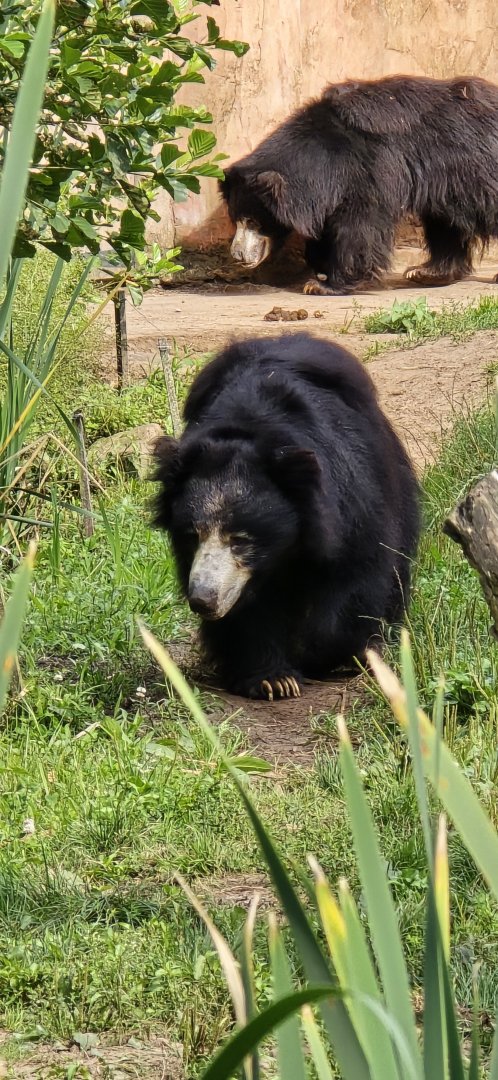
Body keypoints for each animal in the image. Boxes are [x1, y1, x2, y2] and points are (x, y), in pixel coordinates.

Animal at [153, 333, 420, 701]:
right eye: (193, 535)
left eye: (240, 540)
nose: (202, 600)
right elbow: (247, 615)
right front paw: (273, 679)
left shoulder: (352, 502)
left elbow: (357, 575)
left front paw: (328, 655)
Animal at [219, 75, 498, 295]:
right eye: (236, 220)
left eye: (253, 222)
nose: (238, 255)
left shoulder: (371, 168)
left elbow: (360, 224)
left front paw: (322, 285)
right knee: (444, 222)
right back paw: (425, 272)